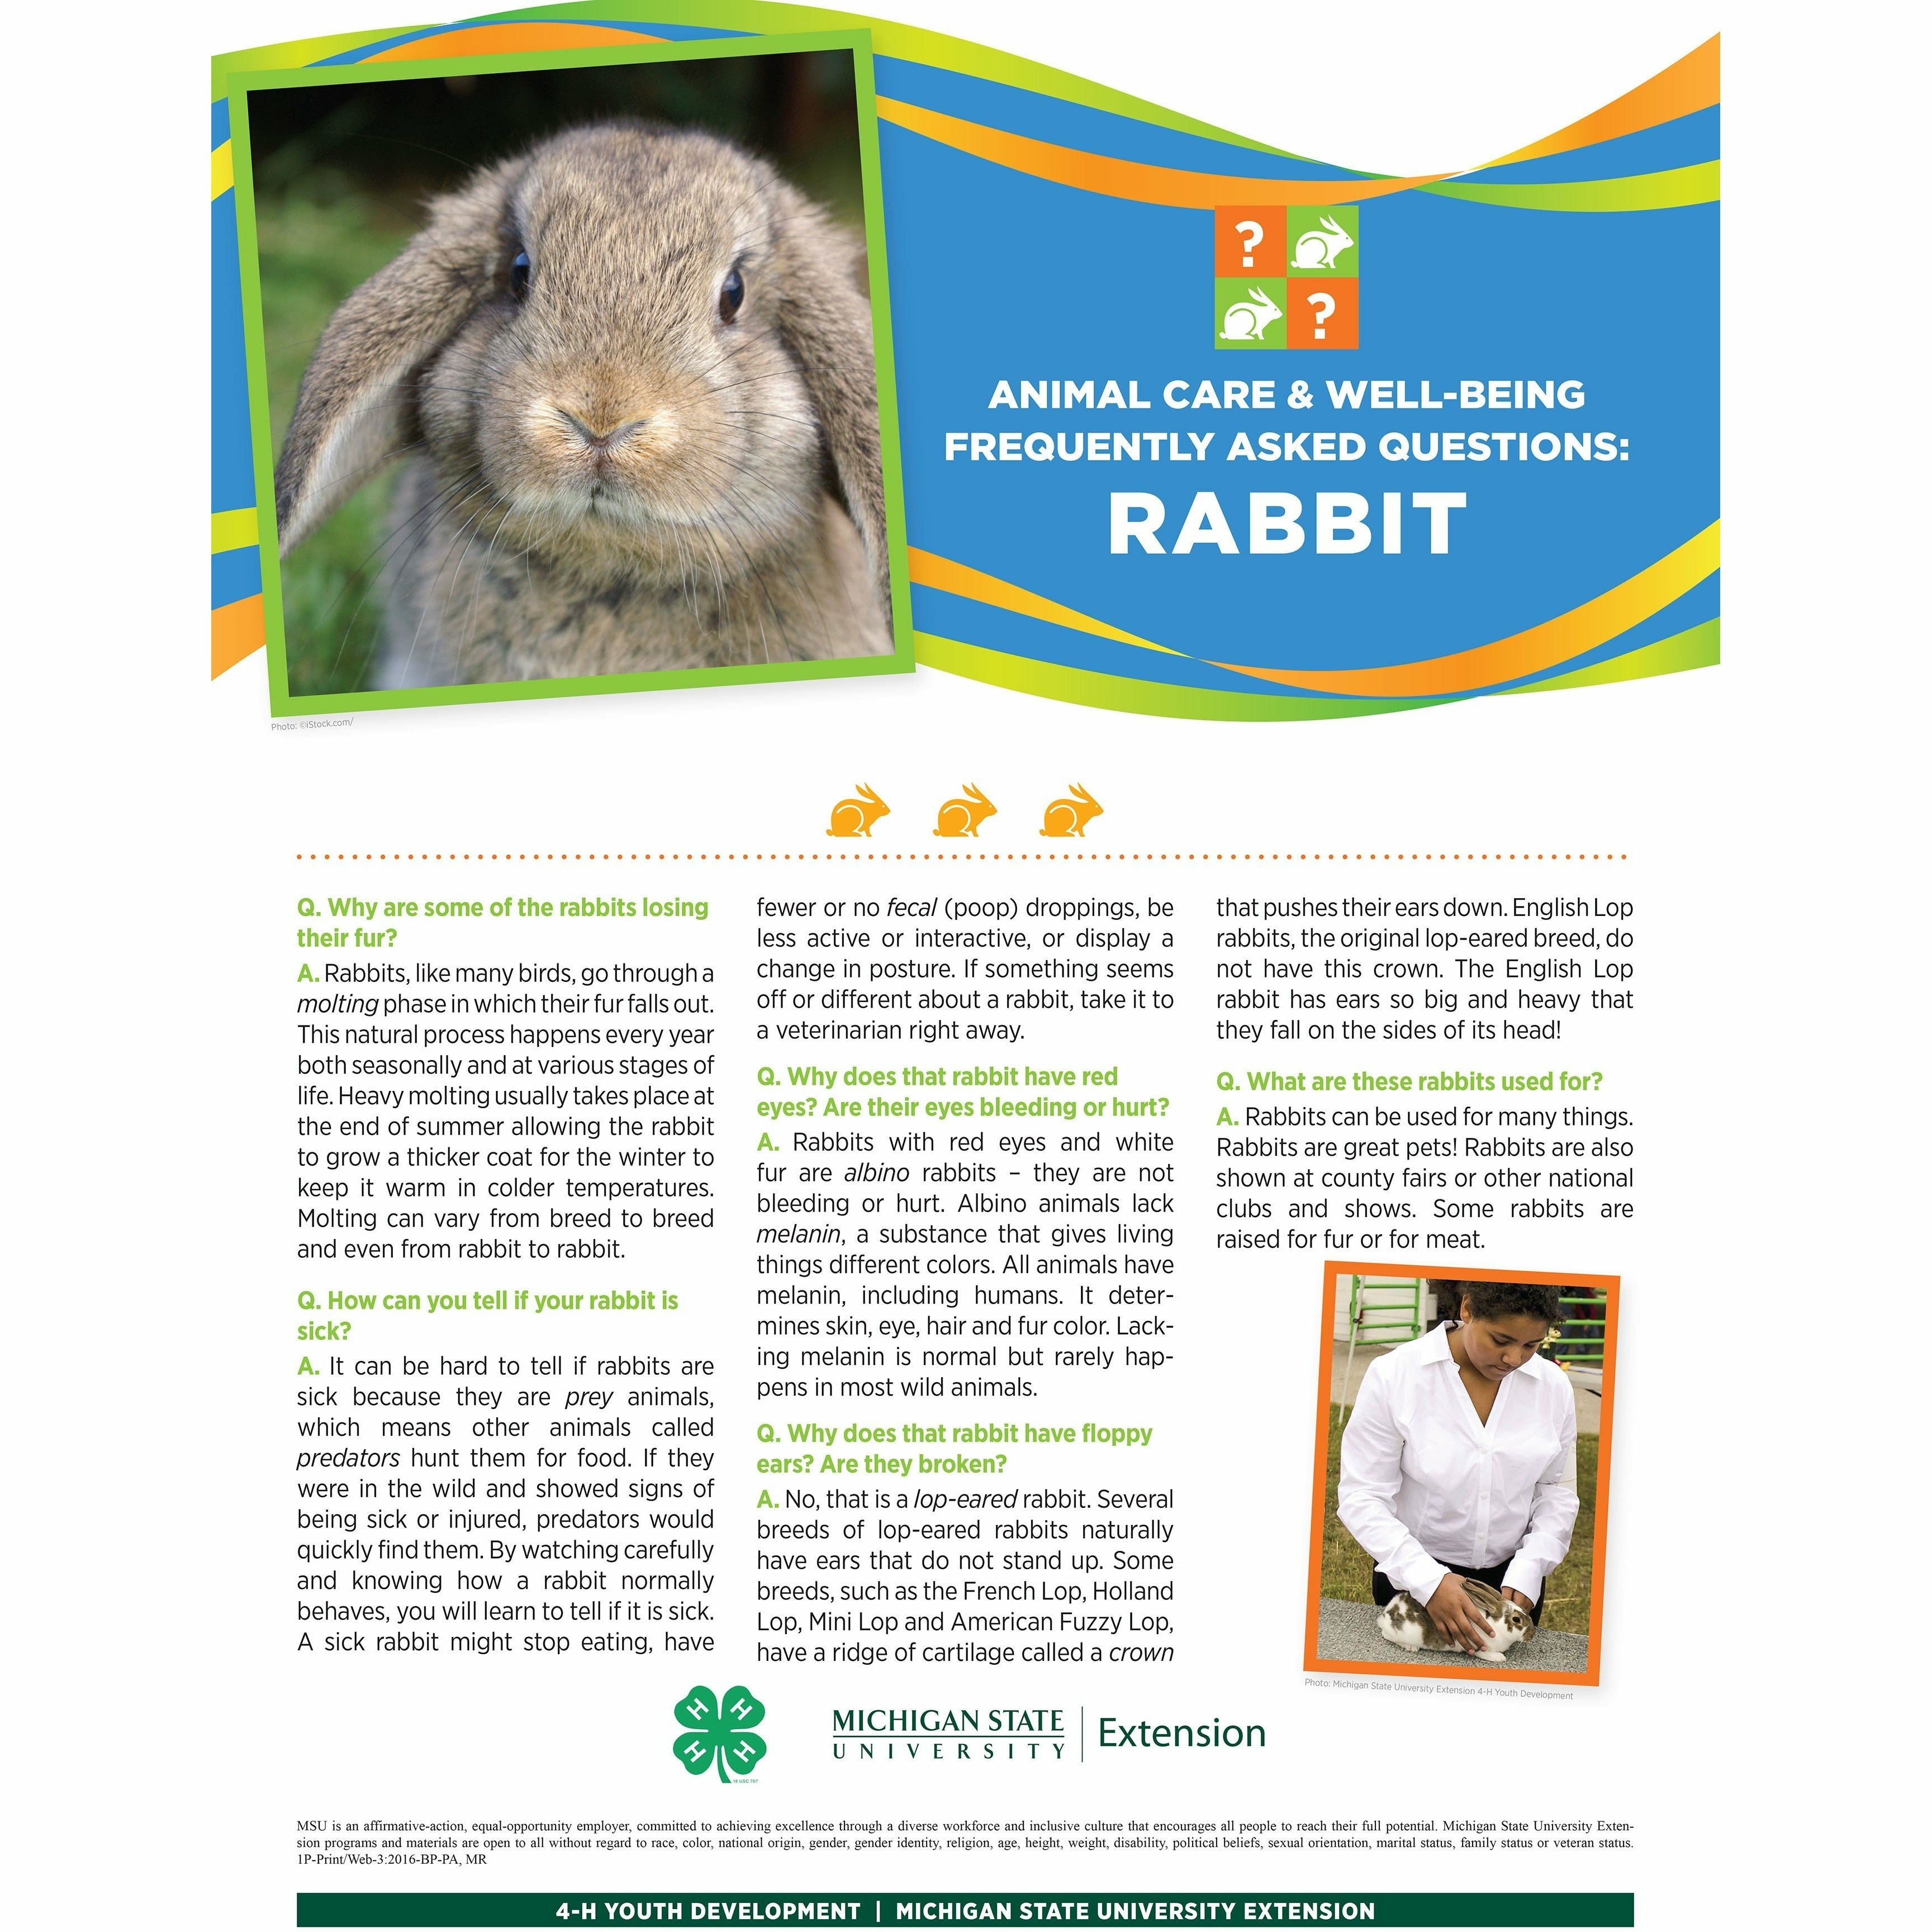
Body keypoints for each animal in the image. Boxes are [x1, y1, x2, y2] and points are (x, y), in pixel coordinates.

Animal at [1377, 1580, 1534, 1665]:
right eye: (1516, 1619)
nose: (1532, 1634)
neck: (1497, 1627)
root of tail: (1386, 1614)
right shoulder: (1481, 1647)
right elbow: (1485, 1654)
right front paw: (1500, 1658)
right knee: (1386, 1635)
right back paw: (1411, 1647)